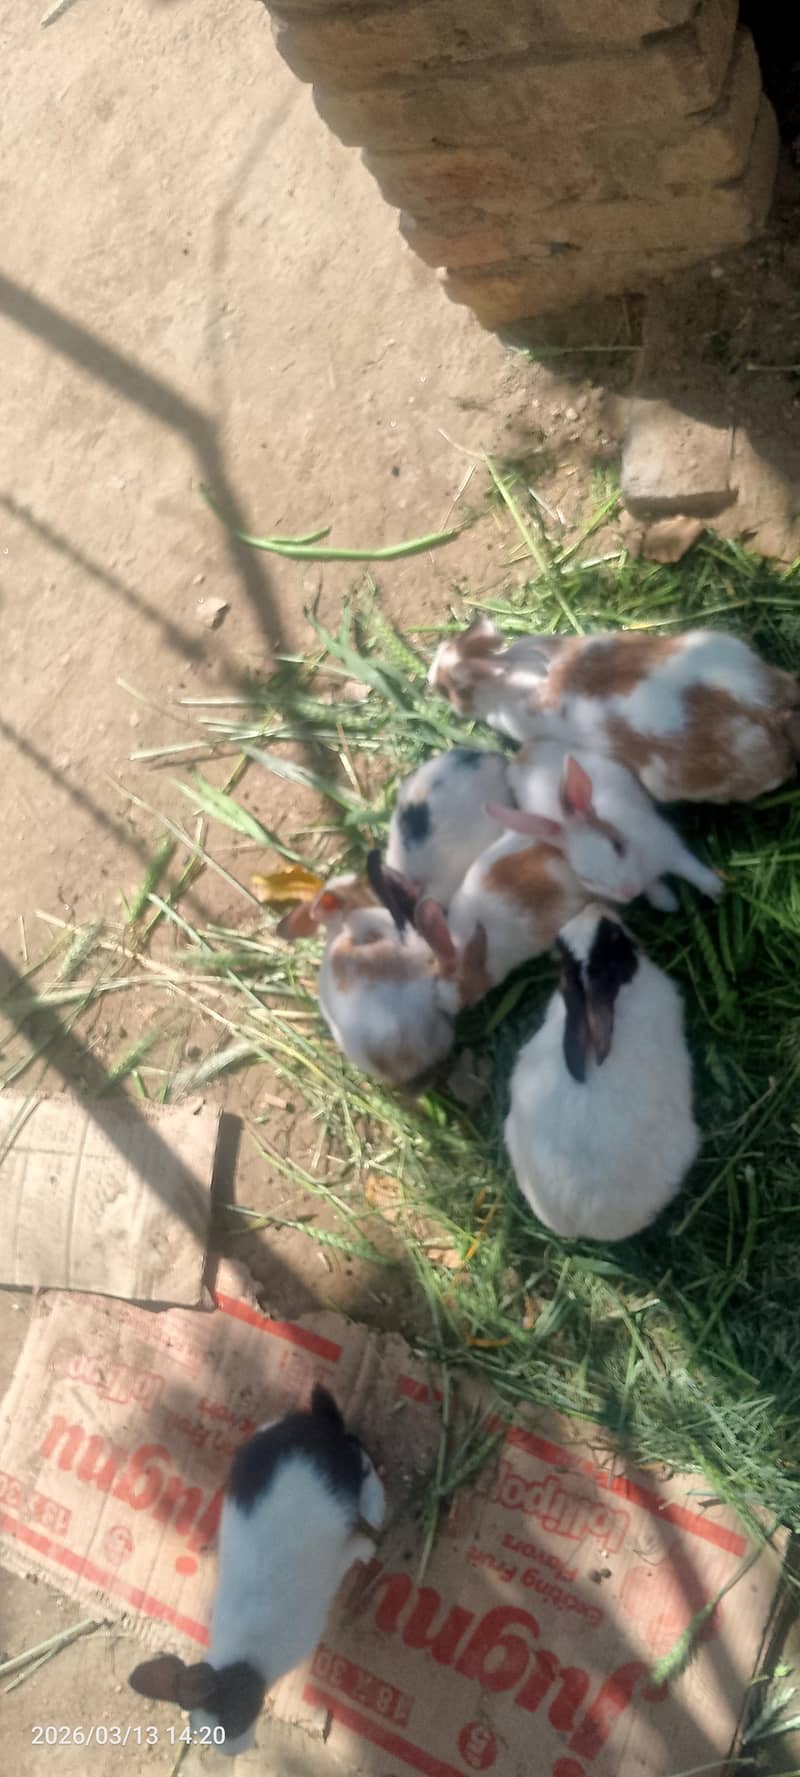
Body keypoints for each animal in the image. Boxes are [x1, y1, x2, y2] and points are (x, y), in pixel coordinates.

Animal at [129, 1385, 385, 1759]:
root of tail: (311, 1429)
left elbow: (351, 1554)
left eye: (236, 1720)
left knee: (360, 1456)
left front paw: (368, 1550)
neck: (245, 1663)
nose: (238, 1751)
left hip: (345, 1476)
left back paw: (377, 1508)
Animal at [486, 745, 722, 911]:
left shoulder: (668, 845)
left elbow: (690, 868)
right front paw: (666, 901)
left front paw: (716, 888)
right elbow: (654, 885)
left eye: (618, 846)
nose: (627, 892)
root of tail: (522, 754)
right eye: (586, 879)